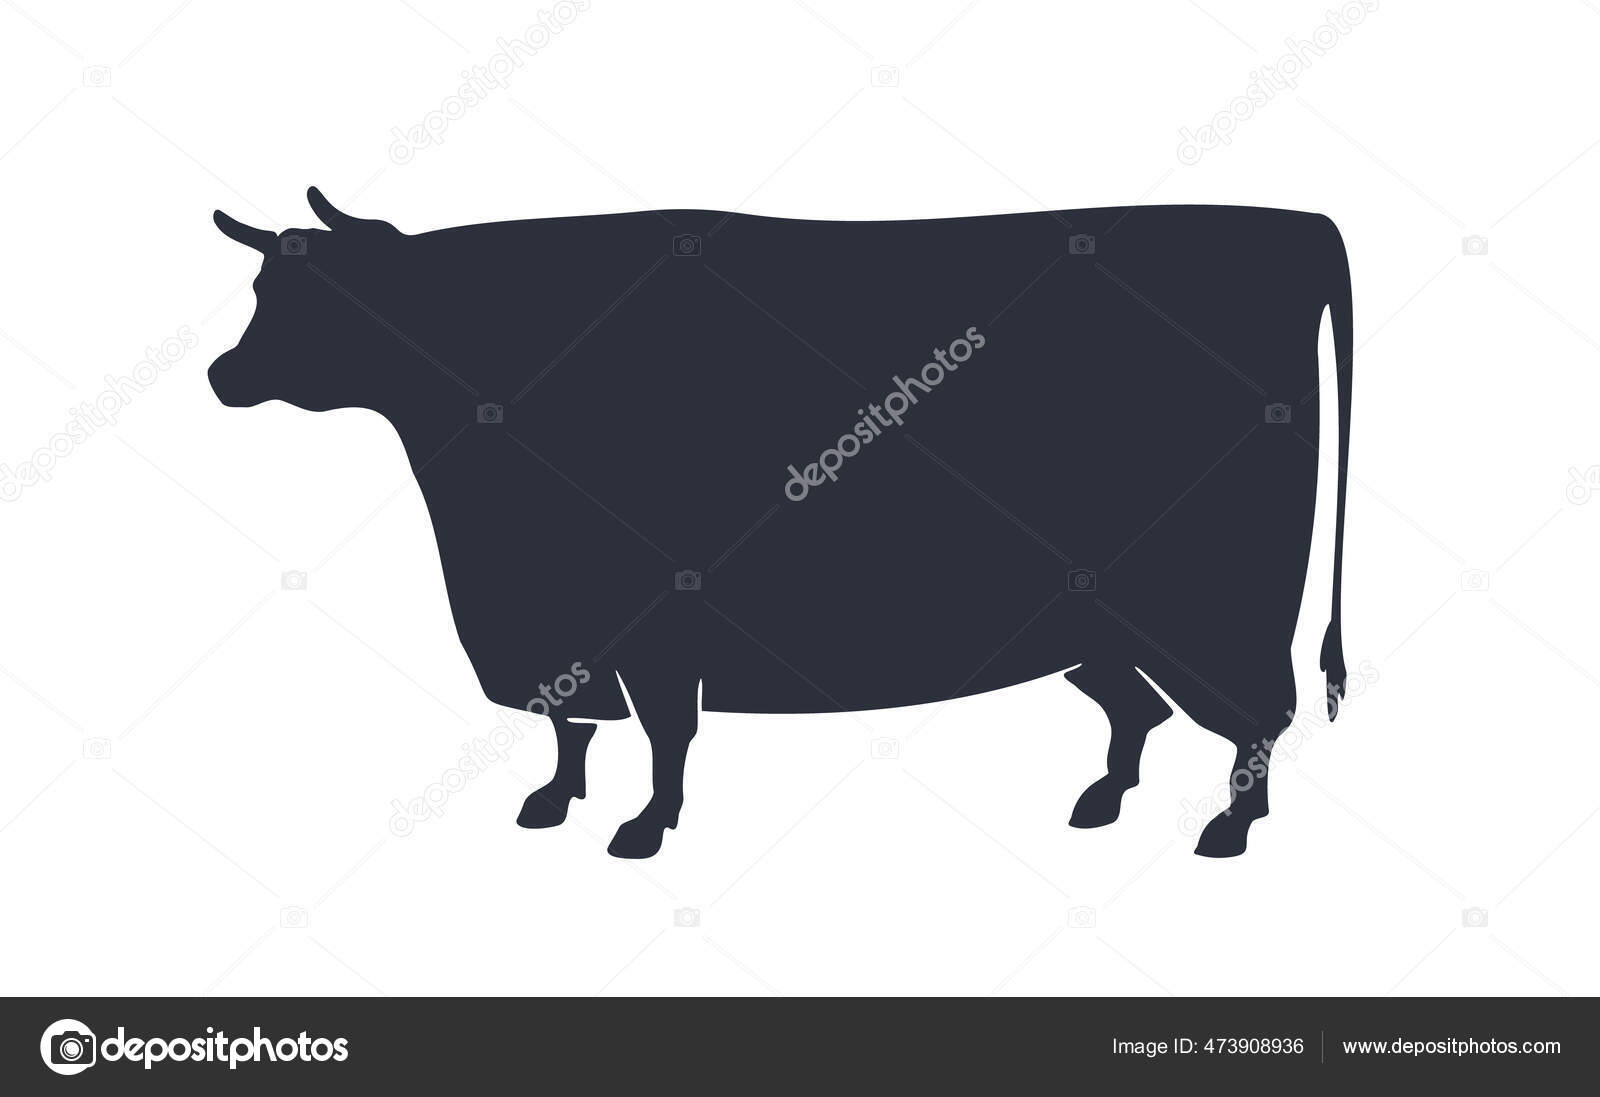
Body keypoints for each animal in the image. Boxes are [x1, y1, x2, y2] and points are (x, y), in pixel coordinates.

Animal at [210, 188, 1353, 859]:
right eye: (265, 285)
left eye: (318, 298)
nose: (222, 374)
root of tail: (1302, 228)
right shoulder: (552, 619)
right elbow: (573, 715)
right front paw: (556, 797)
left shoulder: (660, 615)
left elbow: (665, 727)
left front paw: (644, 823)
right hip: (1094, 617)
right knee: (1139, 705)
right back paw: (1106, 794)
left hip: (1217, 608)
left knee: (1256, 710)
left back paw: (1230, 822)